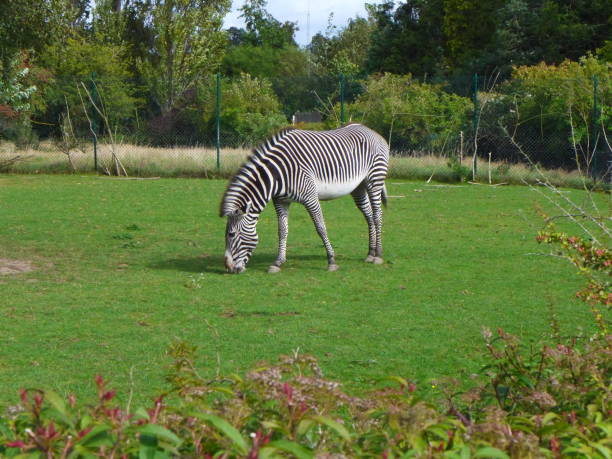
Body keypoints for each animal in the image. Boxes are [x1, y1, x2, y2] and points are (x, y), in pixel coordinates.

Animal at [222, 122, 390, 274]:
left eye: (231, 234)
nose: (229, 268)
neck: (277, 174)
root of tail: (372, 131)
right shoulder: (281, 200)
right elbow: (282, 230)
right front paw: (278, 262)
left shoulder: (310, 197)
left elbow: (320, 227)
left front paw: (331, 261)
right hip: (359, 187)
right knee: (368, 216)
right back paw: (370, 253)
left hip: (375, 180)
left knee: (377, 215)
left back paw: (378, 255)